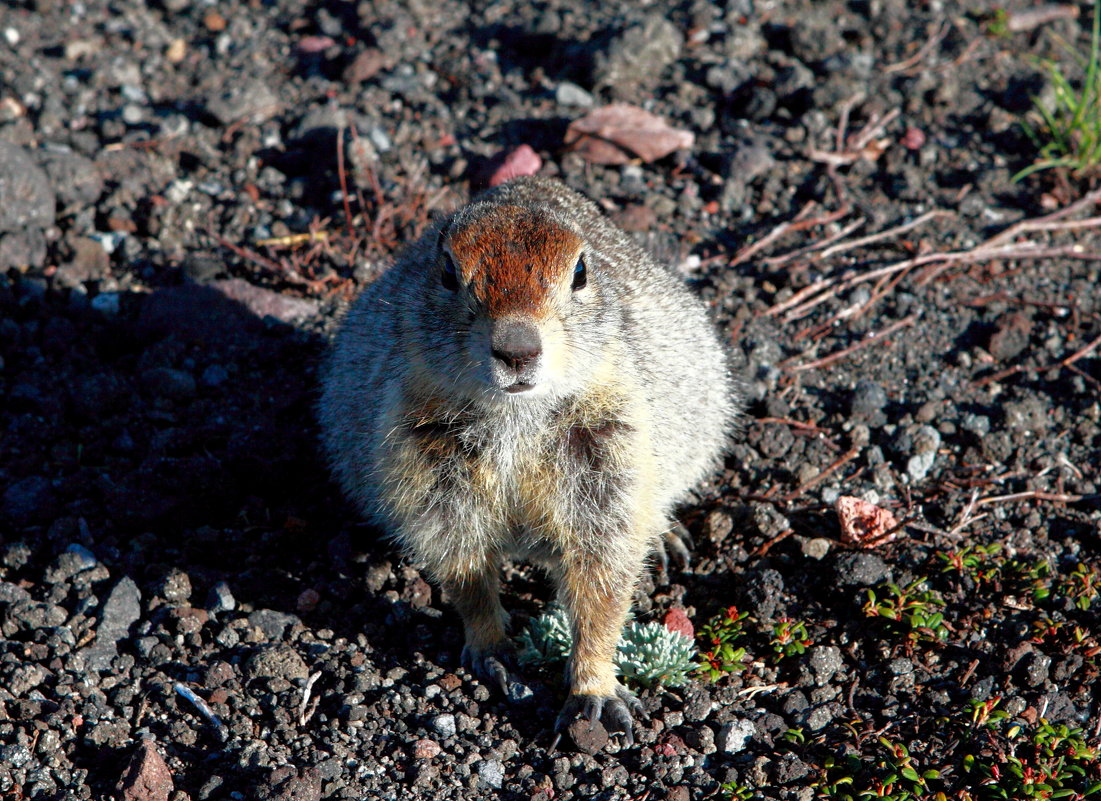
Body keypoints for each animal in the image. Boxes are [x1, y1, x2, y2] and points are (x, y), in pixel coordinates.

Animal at [319, 177, 739, 743]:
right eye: (446, 272)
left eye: (580, 272)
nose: (517, 348)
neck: (517, 417)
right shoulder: (428, 463)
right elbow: (464, 565)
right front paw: (494, 651)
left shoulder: (611, 455)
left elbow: (602, 578)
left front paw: (594, 693)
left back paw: (665, 535)